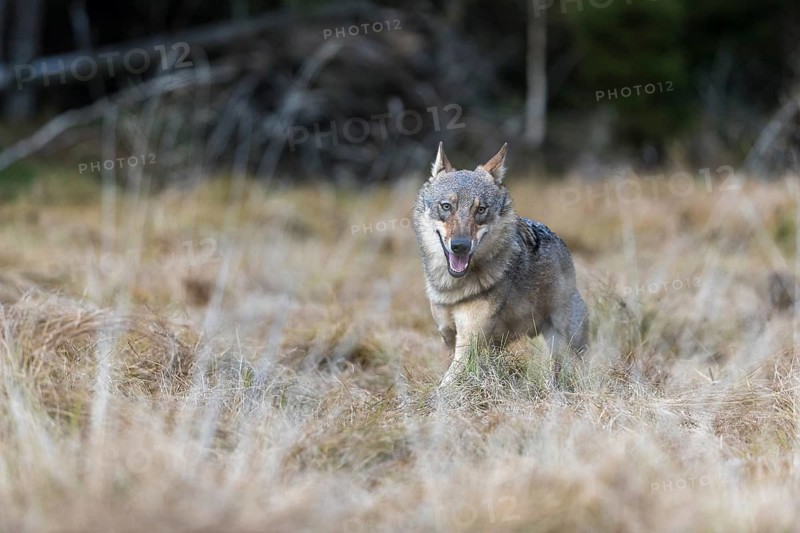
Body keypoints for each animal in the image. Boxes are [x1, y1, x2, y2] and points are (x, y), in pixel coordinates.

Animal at [412, 143, 589, 386]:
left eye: (481, 209)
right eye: (446, 206)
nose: (460, 246)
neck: (452, 289)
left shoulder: (469, 342)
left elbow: (445, 385)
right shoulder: (449, 337)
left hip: (562, 346)